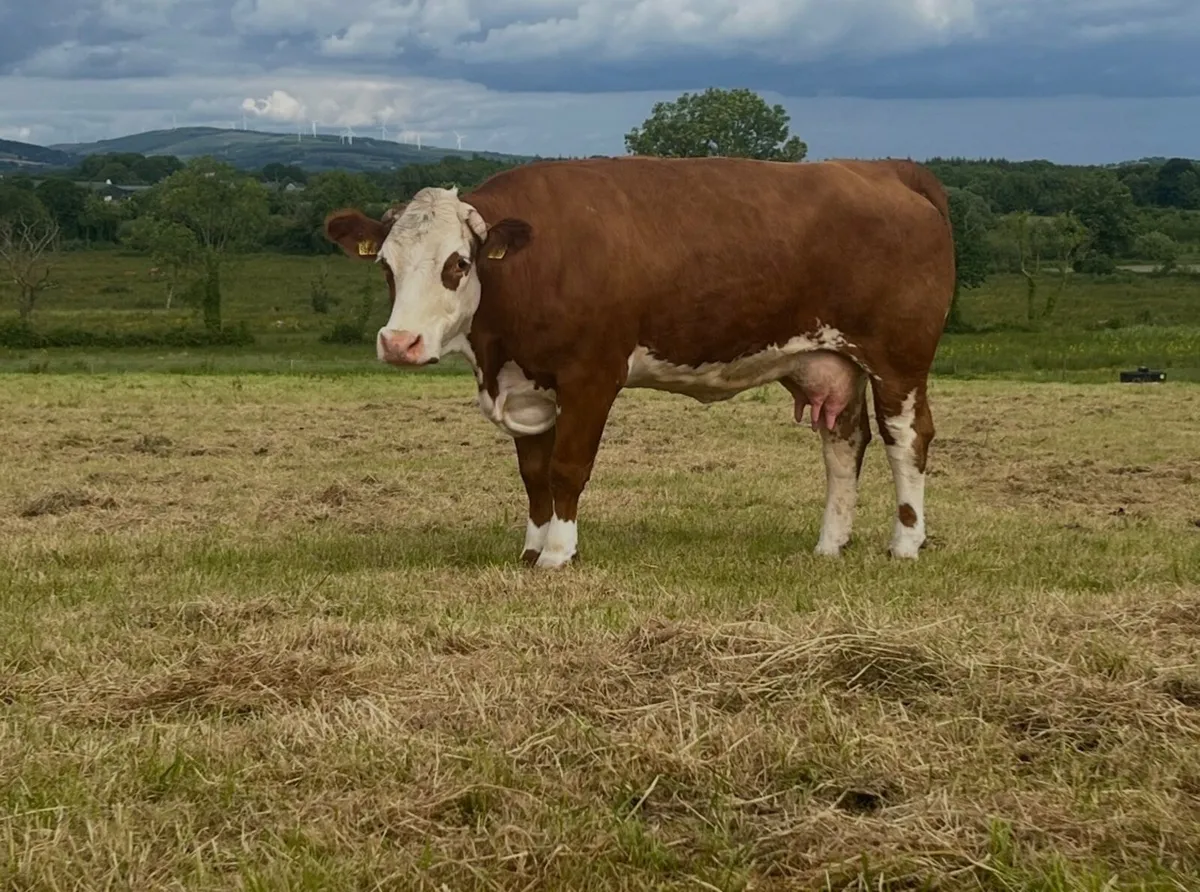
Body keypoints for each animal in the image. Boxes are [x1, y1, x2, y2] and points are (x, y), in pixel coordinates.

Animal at [323, 155, 955, 569]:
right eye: (385, 265)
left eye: (456, 264)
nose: (399, 342)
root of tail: (886, 168)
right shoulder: (527, 383)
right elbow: (533, 474)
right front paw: (531, 546)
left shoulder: (591, 376)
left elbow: (567, 468)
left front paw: (558, 553)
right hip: (829, 361)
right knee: (844, 445)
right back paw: (829, 545)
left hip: (897, 360)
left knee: (907, 438)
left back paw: (906, 544)